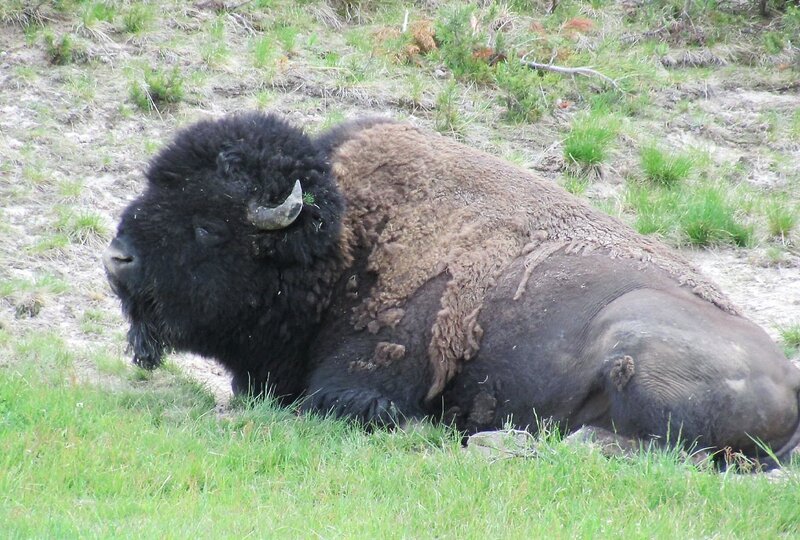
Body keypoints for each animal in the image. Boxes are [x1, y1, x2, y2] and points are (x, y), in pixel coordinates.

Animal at [104, 112, 800, 466]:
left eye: (207, 225)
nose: (117, 259)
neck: (345, 240)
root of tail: (792, 384)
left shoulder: (361, 383)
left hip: (631, 343)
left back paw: (495, 440)